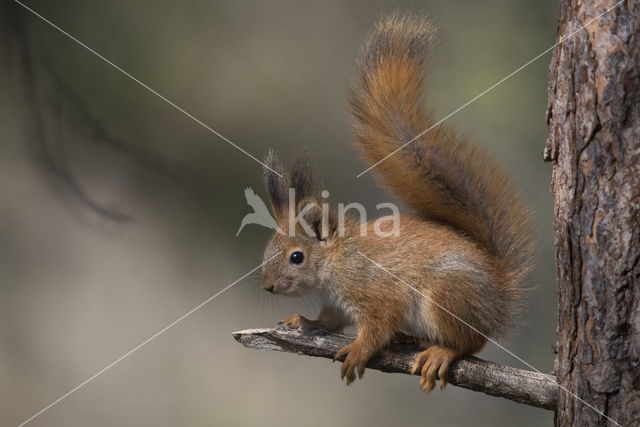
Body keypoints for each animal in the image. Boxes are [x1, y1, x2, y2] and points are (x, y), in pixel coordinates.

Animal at [258, 12, 532, 394]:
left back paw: (441, 352)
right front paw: (304, 321)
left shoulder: (376, 290)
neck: (339, 260)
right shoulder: (336, 304)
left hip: (446, 295)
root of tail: (500, 292)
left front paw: (359, 350)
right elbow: (329, 320)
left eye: (296, 257)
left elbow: (379, 325)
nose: (267, 286)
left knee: (469, 342)